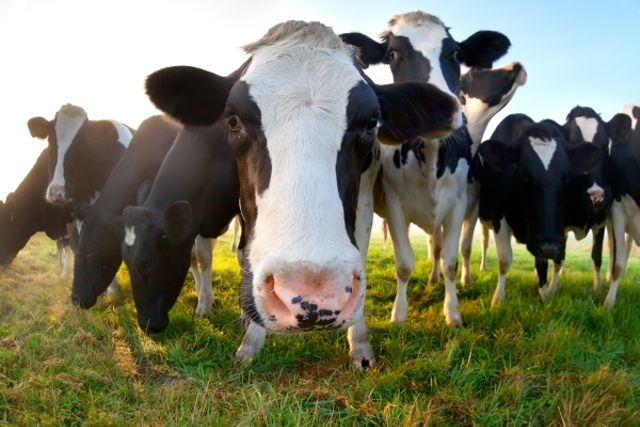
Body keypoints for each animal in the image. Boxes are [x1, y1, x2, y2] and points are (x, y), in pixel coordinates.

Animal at [143, 20, 462, 368]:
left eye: (370, 123)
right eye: (233, 120)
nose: (315, 298)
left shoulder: (365, 198)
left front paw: (360, 344)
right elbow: (243, 255)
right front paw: (250, 340)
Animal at [470, 114, 604, 308]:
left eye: (567, 177)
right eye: (523, 175)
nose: (549, 247)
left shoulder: (547, 233)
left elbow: (543, 262)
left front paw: (544, 294)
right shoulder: (498, 217)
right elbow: (504, 260)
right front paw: (498, 300)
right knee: (484, 242)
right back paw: (480, 269)